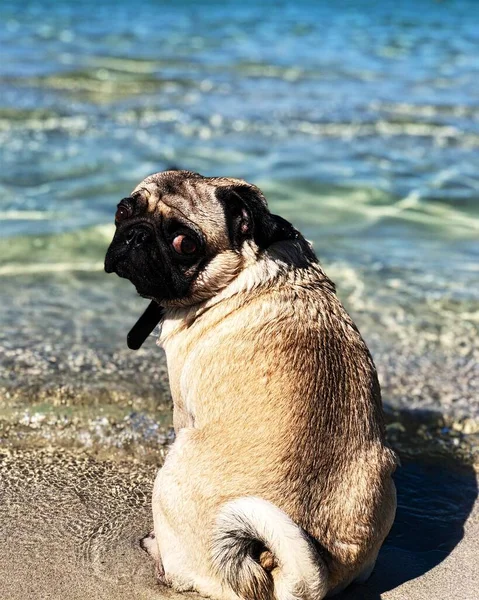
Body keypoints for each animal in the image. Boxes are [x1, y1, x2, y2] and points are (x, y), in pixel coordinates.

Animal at [107, 170, 400, 600]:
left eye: (184, 243)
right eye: (123, 211)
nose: (137, 235)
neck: (244, 266)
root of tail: (283, 574)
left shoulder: (183, 408)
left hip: (171, 479)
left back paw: (156, 549)